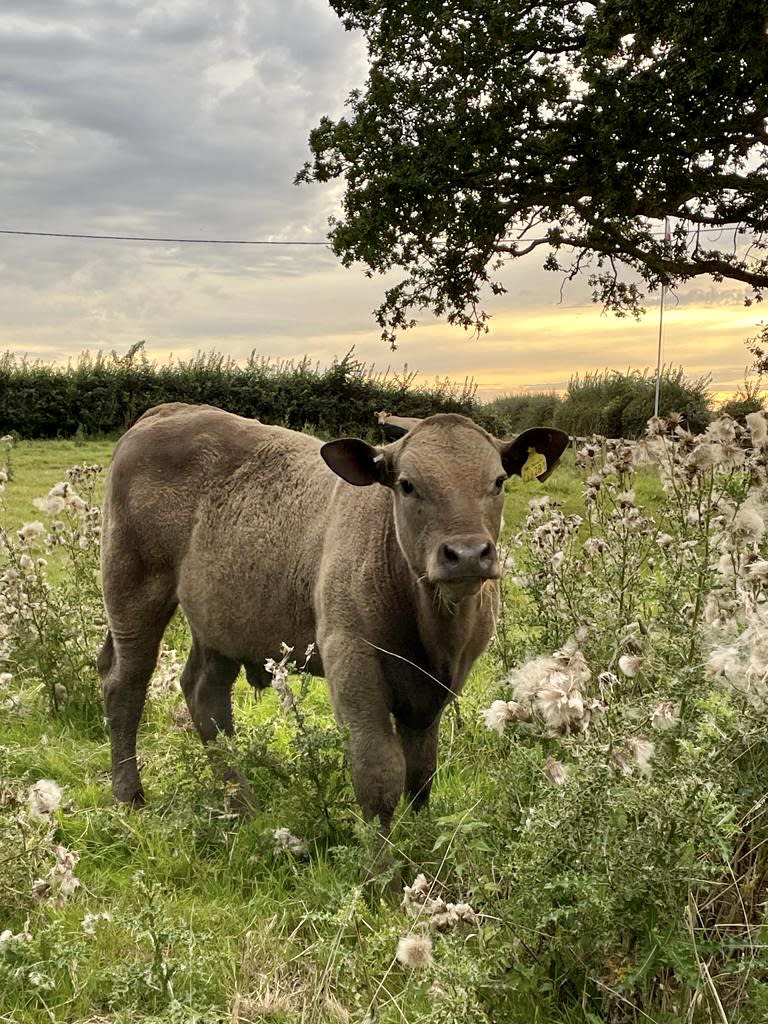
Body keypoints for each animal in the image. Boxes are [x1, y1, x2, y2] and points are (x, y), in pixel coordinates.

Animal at [98, 403, 569, 840]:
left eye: (499, 481)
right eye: (407, 484)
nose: (468, 553)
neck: (434, 627)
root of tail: (169, 411)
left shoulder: (437, 685)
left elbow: (421, 770)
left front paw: (421, 837)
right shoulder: (351, 656)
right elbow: (377, 771)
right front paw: (386, 874)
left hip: (220, 621)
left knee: (204, 694)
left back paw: (242, 806)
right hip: (133, 588)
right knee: (126, 683)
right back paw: (130, 794)